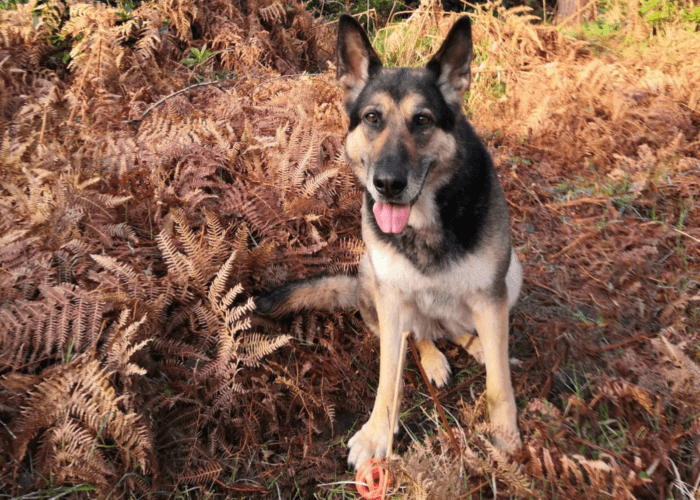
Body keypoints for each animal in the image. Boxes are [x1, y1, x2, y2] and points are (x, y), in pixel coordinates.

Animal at [254, 14, 524, 468]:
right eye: (372, 118)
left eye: (423, 120)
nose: (388, 185)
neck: (425, 221)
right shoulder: (393, 299)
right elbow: (388, 379)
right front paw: (377, 434)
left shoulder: (490, 296)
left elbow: (499, 386)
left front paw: (505, 434)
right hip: (373, 276)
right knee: (418, 337)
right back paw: (435, 357)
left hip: (512, 274)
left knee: (456, 330)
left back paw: (477, 345)